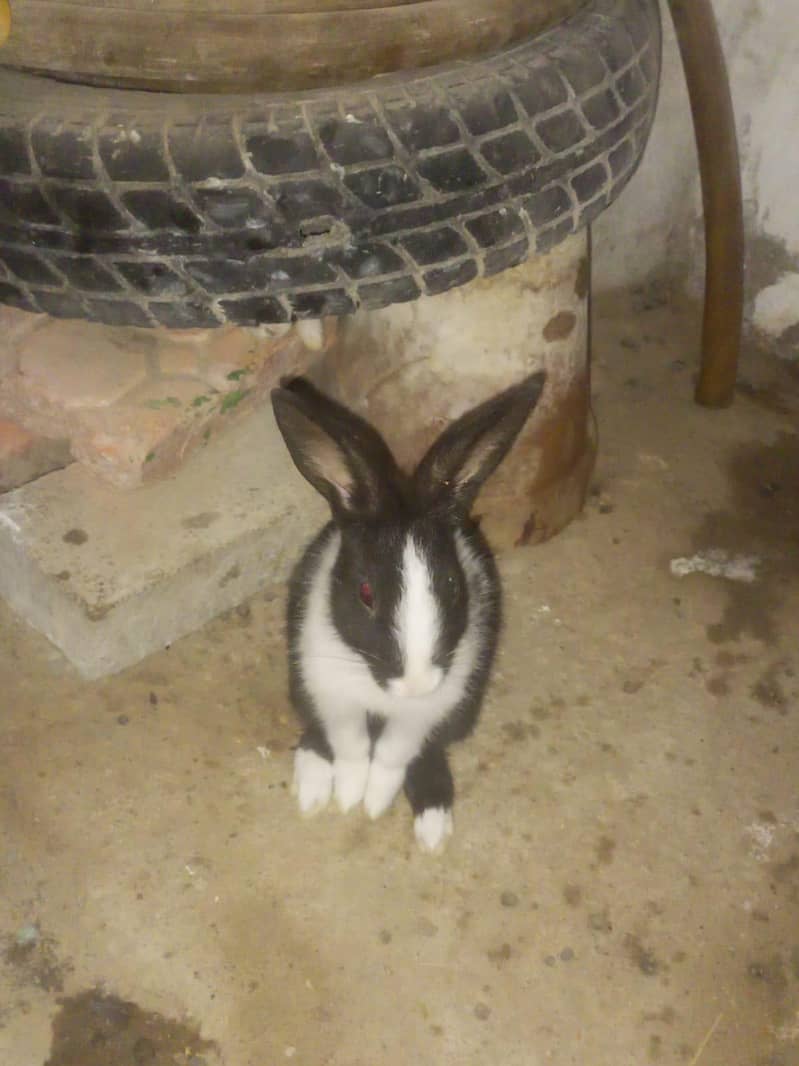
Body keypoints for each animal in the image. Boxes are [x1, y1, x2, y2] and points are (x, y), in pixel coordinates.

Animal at [270, 370, 545, 852]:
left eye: (452, 584)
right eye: (365, 593)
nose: (416, 684)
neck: (381, 693)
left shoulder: (427, 711)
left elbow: (392, 756)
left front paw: (374, 801)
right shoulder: (332, 694)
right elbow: (351, 747)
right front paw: (347, 796)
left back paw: (433, 824)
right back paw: (313, 786)